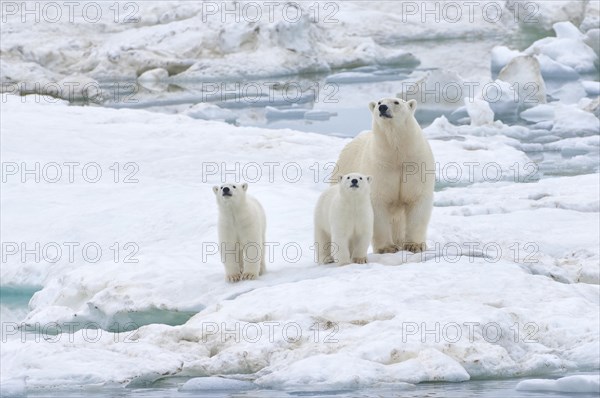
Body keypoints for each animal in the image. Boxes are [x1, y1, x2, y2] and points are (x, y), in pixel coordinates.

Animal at [332, 98, 436, 253]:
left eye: (396, 102)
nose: (383, 107)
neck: (397, 153)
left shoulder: (416, 163)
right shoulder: (380, 166)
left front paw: (414, 245)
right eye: (379, 102)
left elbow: (417, 198)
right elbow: (378, 202)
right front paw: (387, 248)